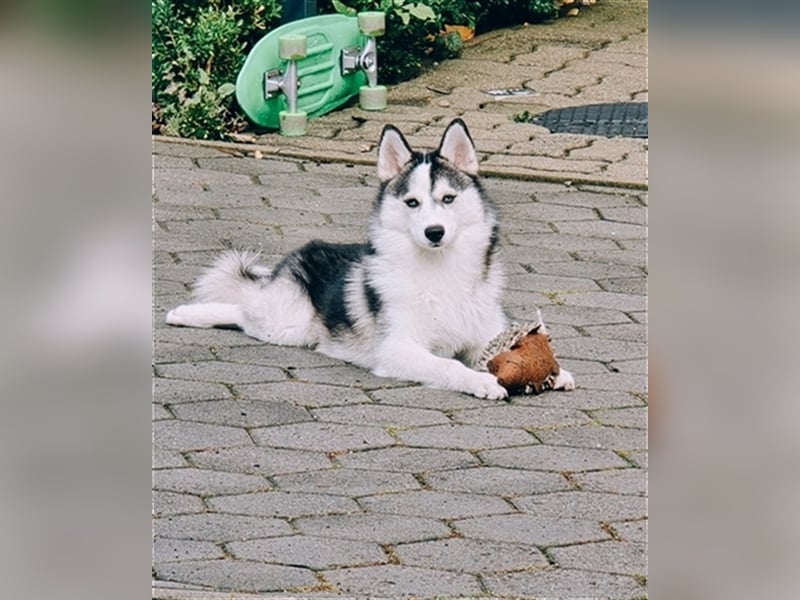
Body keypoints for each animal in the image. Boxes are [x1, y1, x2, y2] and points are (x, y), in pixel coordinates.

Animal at [166, 118, 510, 398]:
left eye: (448, 198)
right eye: (412, 202)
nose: (434, 232)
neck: (441, 271)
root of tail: (294, 259)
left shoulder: (487, 335)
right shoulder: (397, 348)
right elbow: (449, 365)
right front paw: (480, 381)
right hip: (287, 325)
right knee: (242, 310)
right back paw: (186, 314)